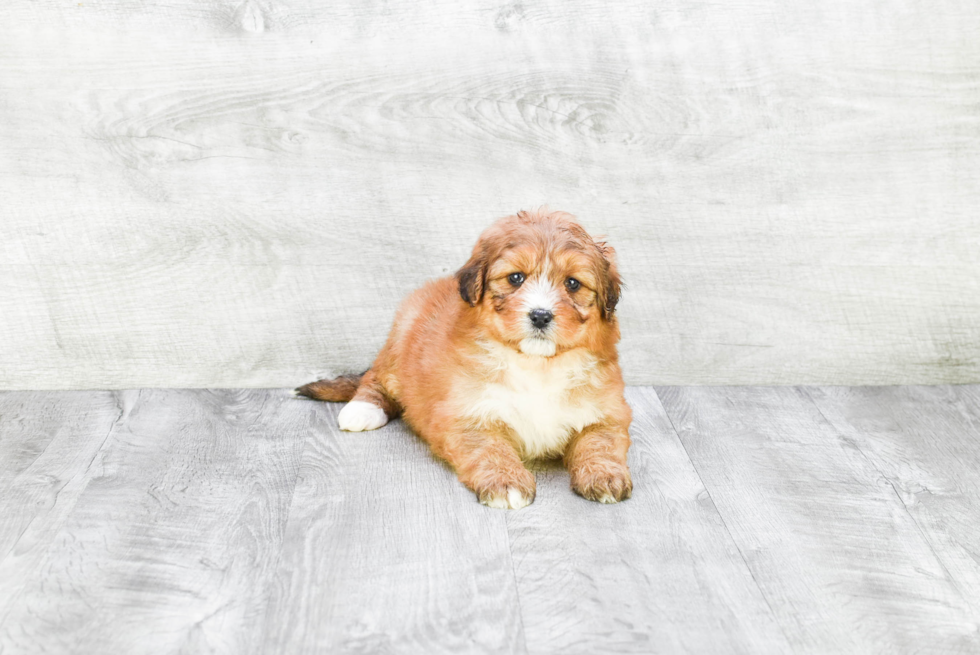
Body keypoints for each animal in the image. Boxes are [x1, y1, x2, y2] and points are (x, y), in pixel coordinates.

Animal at [294, 209, 632, 508]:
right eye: (516, 278)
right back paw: (362, 409)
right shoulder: (466, 415)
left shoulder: (606, 413)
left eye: (573, 283)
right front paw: (506, 481)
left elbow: (599, 443)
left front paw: (604, 475)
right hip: (398, 343)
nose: (540, 315)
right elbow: (490, 448)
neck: (537, 365)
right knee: (374, 377)